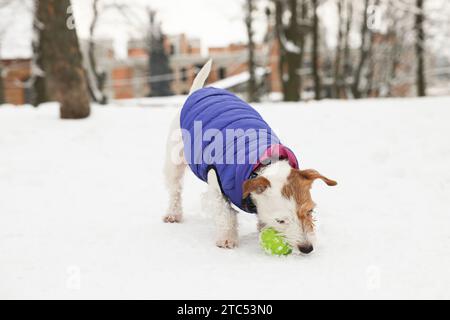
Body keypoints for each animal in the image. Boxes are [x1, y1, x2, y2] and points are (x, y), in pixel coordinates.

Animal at [163, 60, 336, 255]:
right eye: (281, 220)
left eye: (309, 212)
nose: (307, 248)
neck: (262, 164)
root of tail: (198, 91)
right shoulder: (216, 185)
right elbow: (225, 214)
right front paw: (227, 239)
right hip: (174, 160)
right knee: (175, 189)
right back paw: (173, 214)